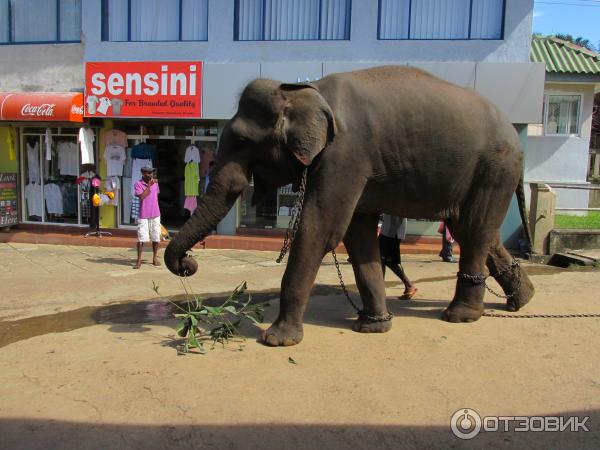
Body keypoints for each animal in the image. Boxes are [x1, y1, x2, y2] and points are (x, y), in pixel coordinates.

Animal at [163, 65, 536, 348]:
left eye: (241, 140)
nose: (189, 263)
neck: (303, 91)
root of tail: (515, 134)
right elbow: (357, 235)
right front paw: (373, 326)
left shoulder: (345, 153)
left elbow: (321, 228)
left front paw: (276, 340)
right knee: (473, 228)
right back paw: (523, 299)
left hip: (494, 167)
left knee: (473, 230)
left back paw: (460, 316)